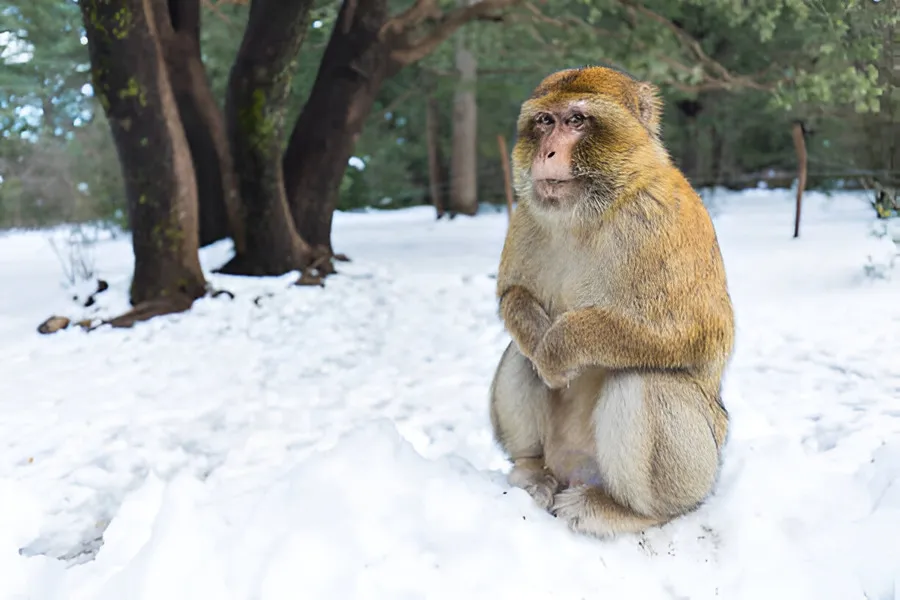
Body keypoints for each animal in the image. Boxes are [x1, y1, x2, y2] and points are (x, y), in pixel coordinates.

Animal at [489, 65, 735, 539]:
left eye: (576, 120)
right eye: (545, 121)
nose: (545, 152)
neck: (588, 212)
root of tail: (574, 471)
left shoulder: (665, 217)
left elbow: (693, 333)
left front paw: (559, 347)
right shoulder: (526, 213)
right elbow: (514, 294)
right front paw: (541, 340)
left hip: (698, 470)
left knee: (645, 377)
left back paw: (631, 511)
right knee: (519, 353)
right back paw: (531, 470)